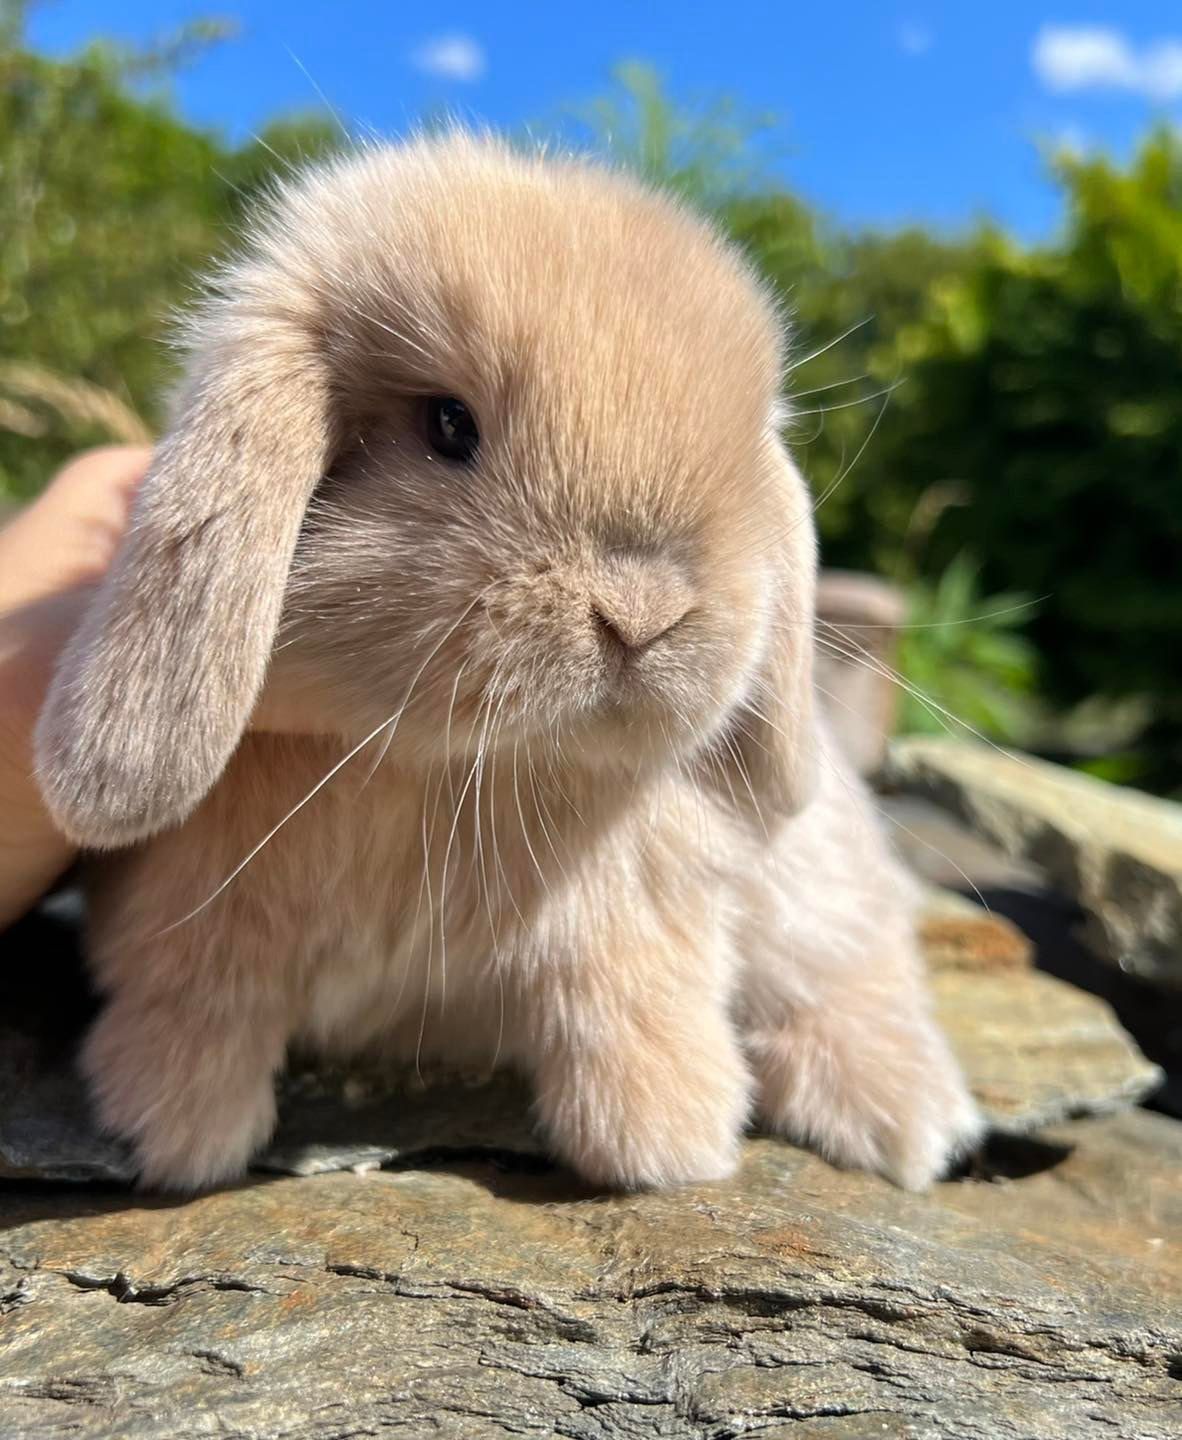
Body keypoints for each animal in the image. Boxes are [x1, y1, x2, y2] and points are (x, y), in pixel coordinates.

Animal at [32, 132, 984, 1192]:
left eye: (743, 455)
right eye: (448, 425)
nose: (644, 612)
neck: (442, 773)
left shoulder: (630, 914)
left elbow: (623, 998)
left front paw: (668, 1140)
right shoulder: (194, 918)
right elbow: (202, 1001)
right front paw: (174, 1128)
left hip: (819, 887)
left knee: (853, 975)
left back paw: (903, 1116)